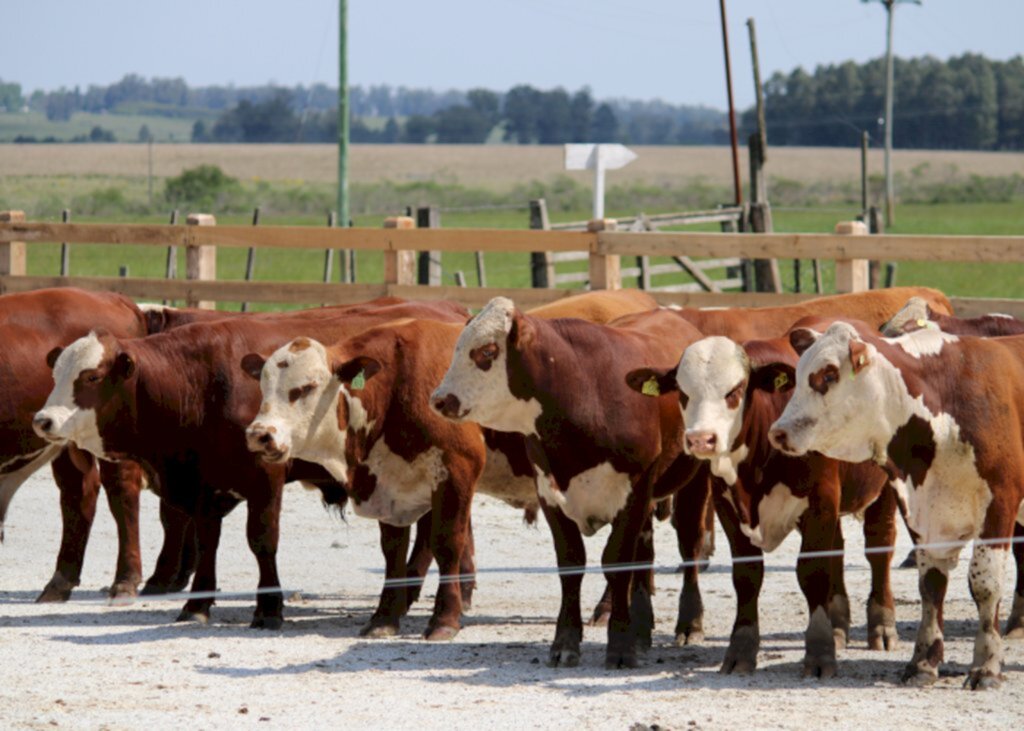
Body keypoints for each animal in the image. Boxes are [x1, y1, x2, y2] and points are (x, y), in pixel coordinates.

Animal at [30, 301, 464, 626]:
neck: (203, 380)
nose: (44, 420)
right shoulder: (205, 482)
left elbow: (262, 539)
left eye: (91, 376)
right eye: (57, 372)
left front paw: (269, 608)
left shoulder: (265, 475)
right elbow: (207, 540)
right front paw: (197, 604)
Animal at [430, 296, 704, 667]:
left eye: (486, 351)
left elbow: (619, 561)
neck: (583, 390)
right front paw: (566, 643)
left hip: (695, 479)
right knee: (645, 549)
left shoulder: (634, 490)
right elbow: (571, 564)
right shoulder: (550, 493)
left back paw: (690, 624)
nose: (439, 399)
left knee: (689, 543)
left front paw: (620, 645)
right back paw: (641, 629)